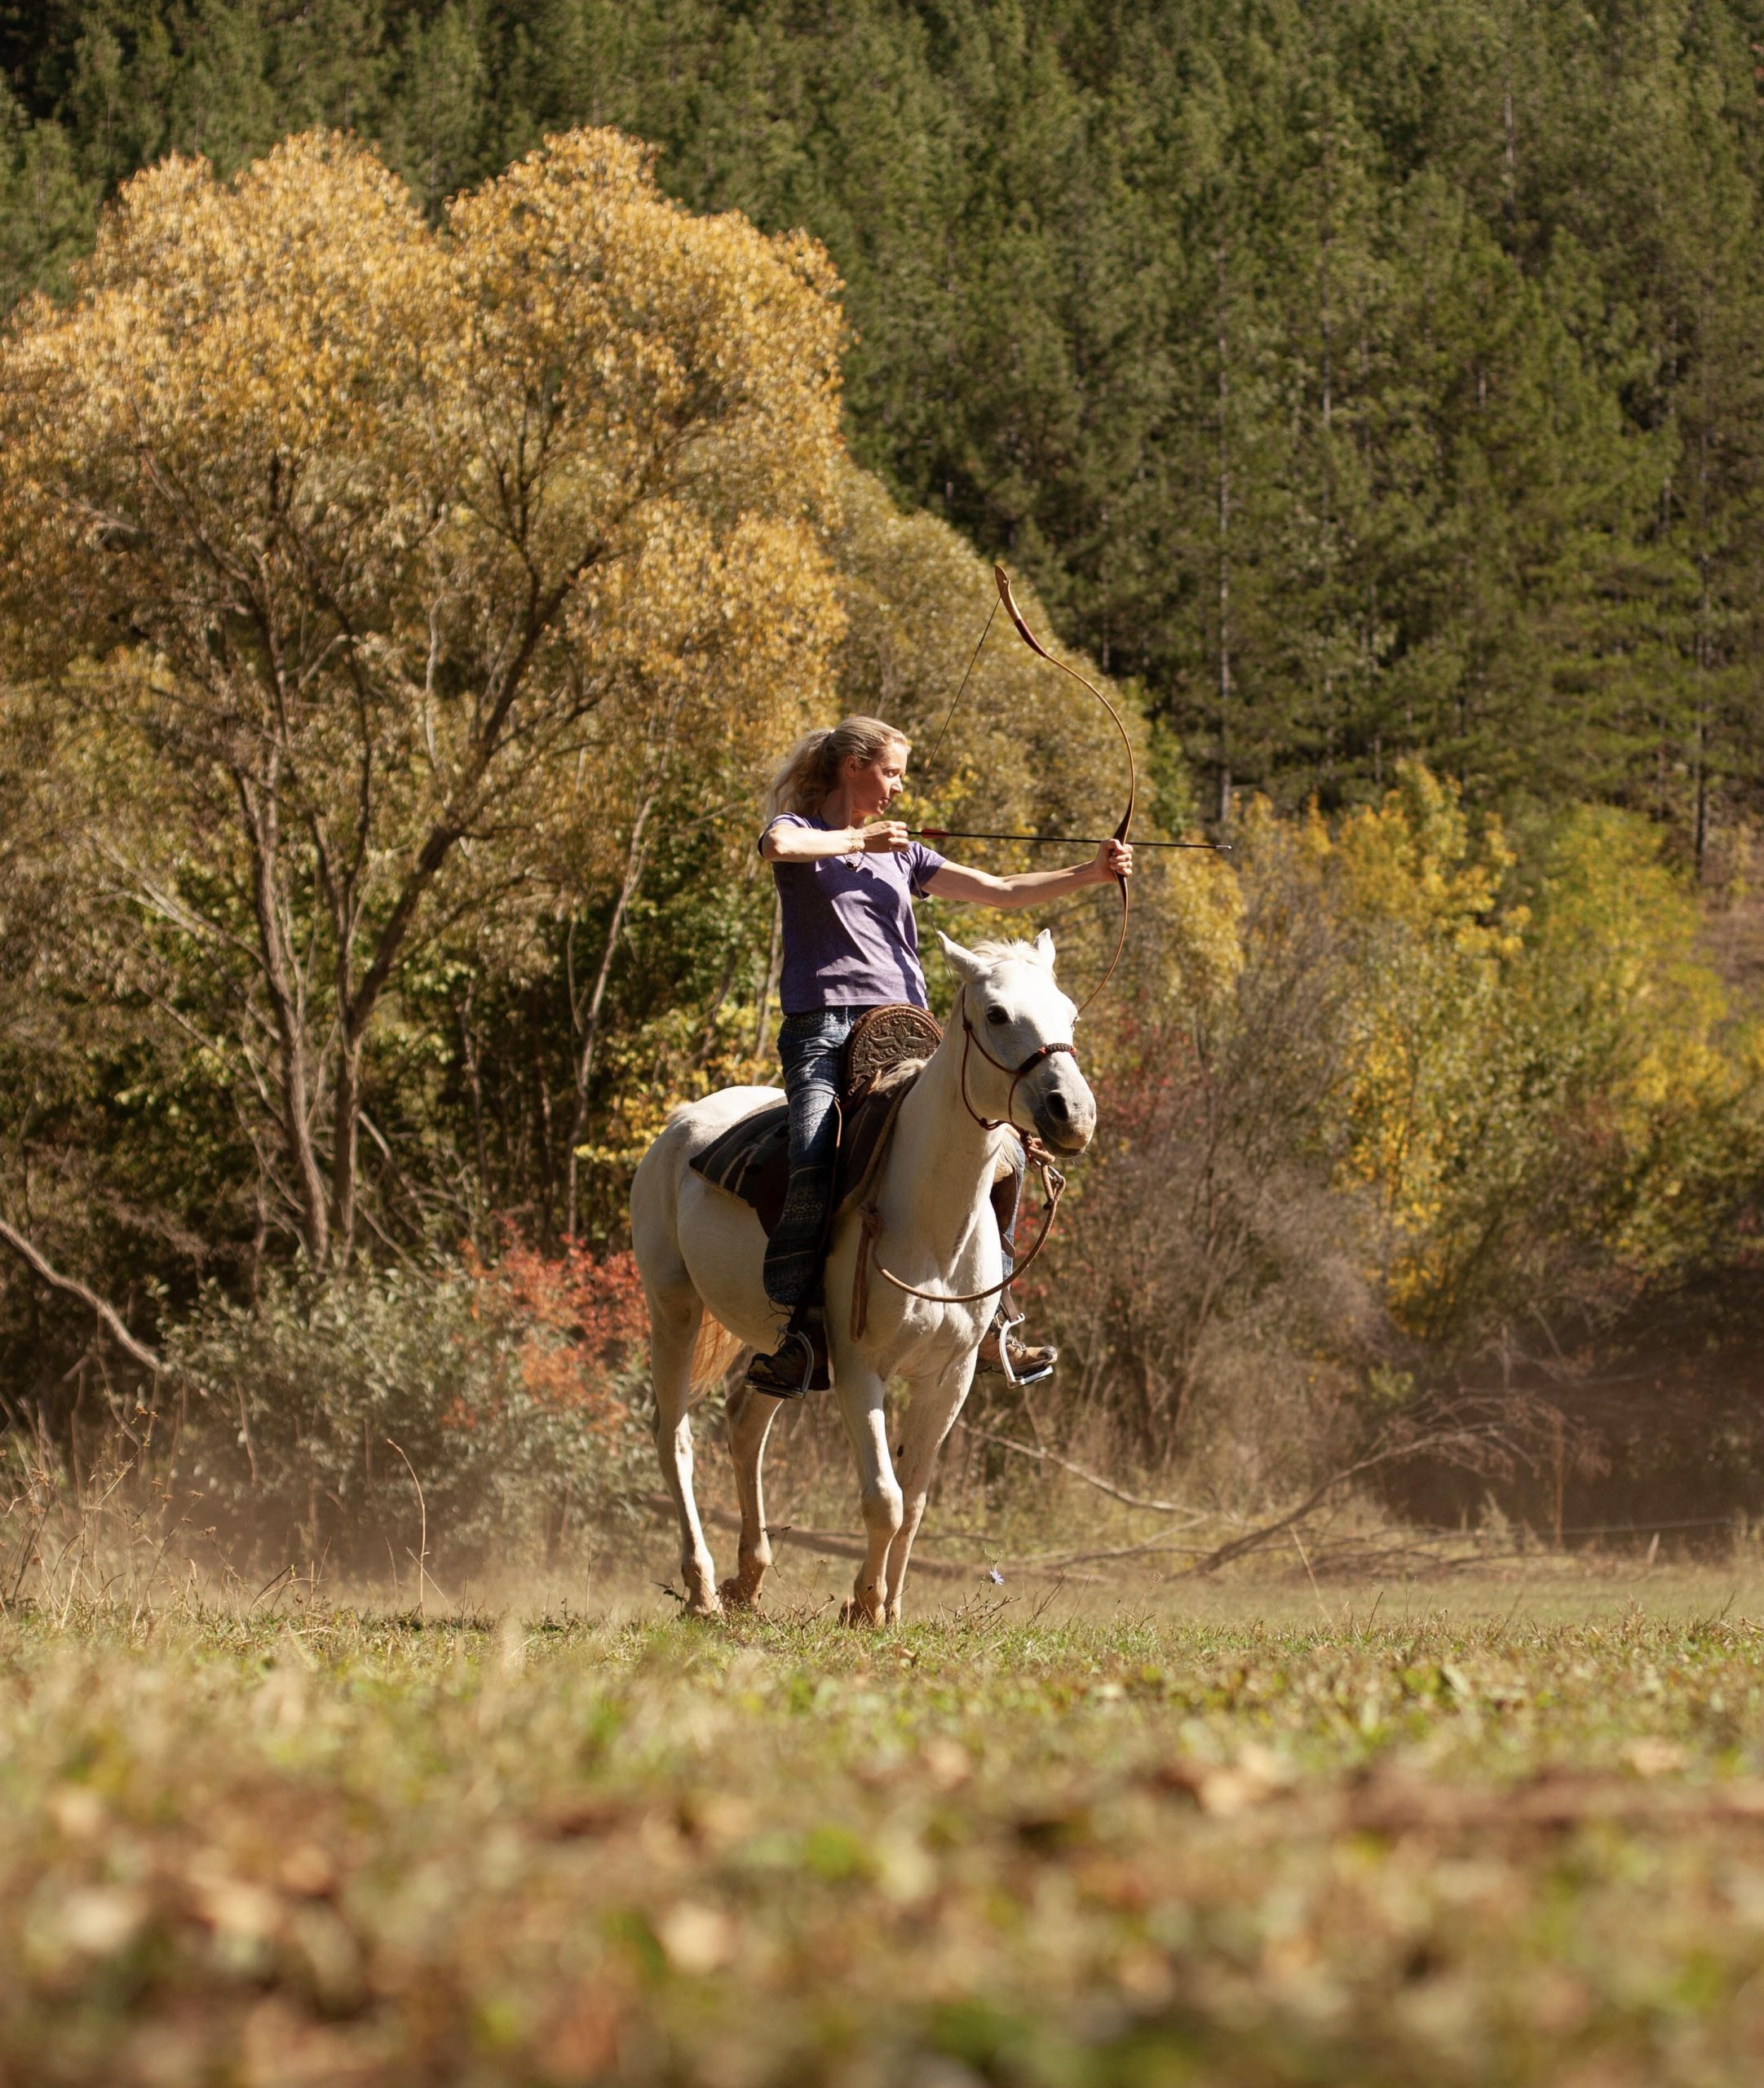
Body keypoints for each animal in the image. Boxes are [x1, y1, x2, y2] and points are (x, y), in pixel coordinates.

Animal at [634, 935, 1094, 1628]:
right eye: (995, 1014)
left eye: (1068, 1013)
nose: (1072, 1113)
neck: (932, 1222)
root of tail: (681, 1122)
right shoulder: (859, 1370)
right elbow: (884, 1497)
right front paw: (866, 1605)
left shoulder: (950, 1377)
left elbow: (916, 1500)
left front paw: (889, 1605)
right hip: (674, 1307)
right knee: (674, 1438)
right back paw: (703, 1589)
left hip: (778, 1345)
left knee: (745, 1425)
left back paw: (749, 1579)